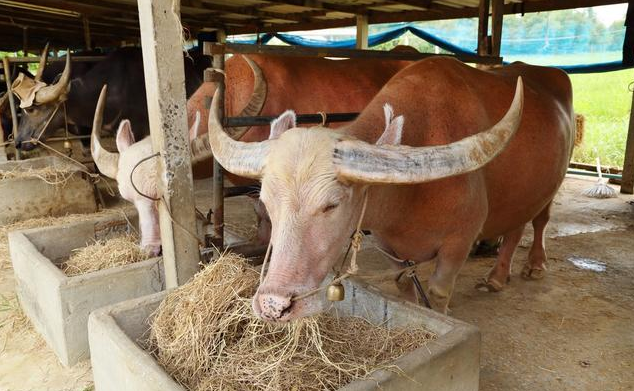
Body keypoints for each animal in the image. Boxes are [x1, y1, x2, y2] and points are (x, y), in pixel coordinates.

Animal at [201, 56, 572, 324]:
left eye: (332, 205)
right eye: (267, 202)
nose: (274, 305)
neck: (410, 196)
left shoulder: (460, 241)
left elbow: (439, 292)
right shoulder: (389, 246)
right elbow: (405, 285)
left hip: (553, 185)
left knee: (539, 221)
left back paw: (532, 265)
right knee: (517, 225)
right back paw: (498, 276)